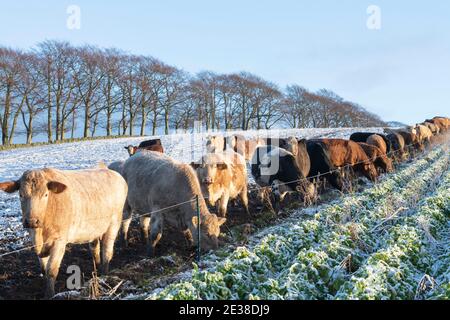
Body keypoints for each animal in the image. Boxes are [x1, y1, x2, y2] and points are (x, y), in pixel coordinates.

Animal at [0, 168, 127, 298]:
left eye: (45, 194)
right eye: (21, 195)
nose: (31, 221)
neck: (39, 233)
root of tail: (112, 172)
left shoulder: (59, 241)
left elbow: (51, 270)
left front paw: (50, 295)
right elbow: (44, 269)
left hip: (114, 223)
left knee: (107, 252)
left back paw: (104, 276)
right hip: (95, 229)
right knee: (95, 249)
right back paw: (96, 272)